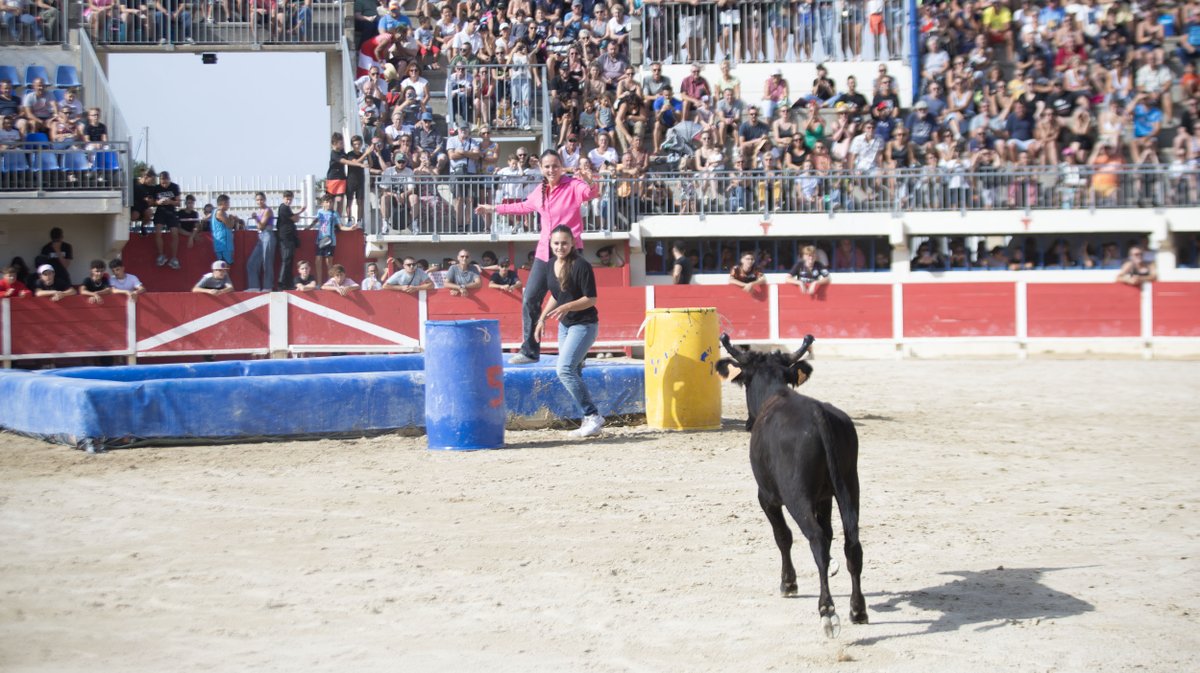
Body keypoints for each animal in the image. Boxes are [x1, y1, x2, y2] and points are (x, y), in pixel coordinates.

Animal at [715, 333, 868, 638]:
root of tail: (818, 414)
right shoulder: (825, 497)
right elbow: (830, 532)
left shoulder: (767, 496)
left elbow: (782, 536)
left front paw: (788, 583)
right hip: (849, 485)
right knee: (852, 542)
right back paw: (858, 610)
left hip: (797, 496)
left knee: (815, 539)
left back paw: (827, 612)